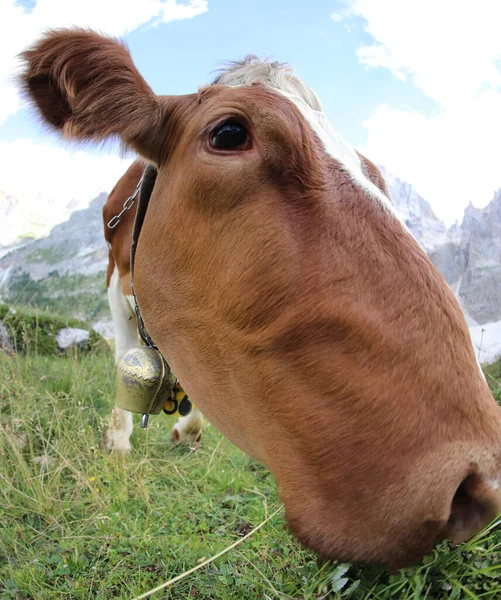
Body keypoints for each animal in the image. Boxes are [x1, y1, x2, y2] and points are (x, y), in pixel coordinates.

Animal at [17, 28, 500, 568]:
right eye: (229, 133)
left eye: (375, 175)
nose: (479, 477)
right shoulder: (115, 275)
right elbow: (126, 354)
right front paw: (119, 441)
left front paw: (188, 429)